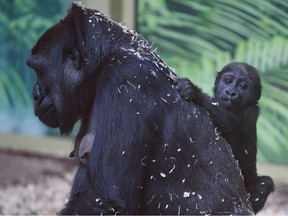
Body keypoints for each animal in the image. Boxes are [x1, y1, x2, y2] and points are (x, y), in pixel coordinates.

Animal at [177, 62, 274, 213]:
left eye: (243, 86)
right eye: (228, 80)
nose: (231, 92)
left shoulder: (249, 112)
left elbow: (227, 120)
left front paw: (192, 91)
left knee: (265, 183)